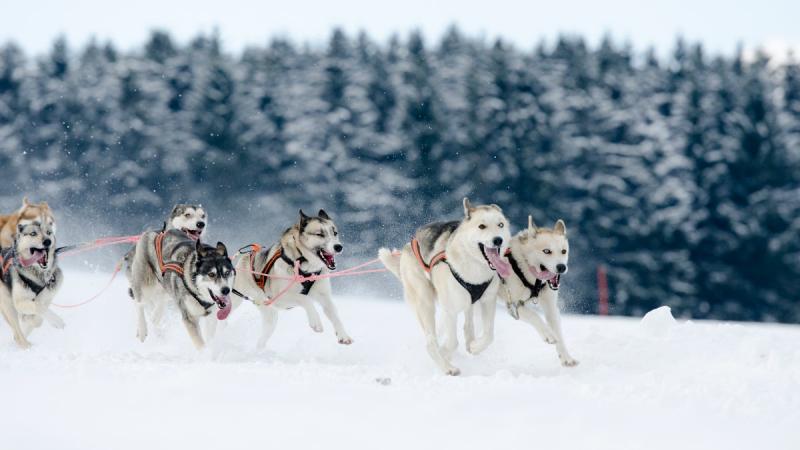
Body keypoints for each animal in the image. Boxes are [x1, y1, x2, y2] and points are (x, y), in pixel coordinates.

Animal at [0, 204, 63, 348]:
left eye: (49, 233)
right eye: (33, 233)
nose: (47, 241)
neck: (38, 275)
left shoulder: (47, 297)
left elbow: (38, 315)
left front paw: (32, 319)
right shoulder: (20, 301)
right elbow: (37, 307)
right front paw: (56, 320)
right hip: (8, 304)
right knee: (18, 334)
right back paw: (26, 346)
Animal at [234, 210, 354, 348]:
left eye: (335, 233)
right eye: (320, 234)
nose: (338, 247)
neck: (306, 268)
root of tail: (247, 255)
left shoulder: (324, 296)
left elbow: (334, 313)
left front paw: (343, 335)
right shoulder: (280, 298)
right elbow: (305, 299)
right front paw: (316, 322)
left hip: (271, 317)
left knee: (261, 340)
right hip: (234, 299)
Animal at [380, 199, 512, 374]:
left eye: (500, 225)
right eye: (482, 226)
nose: (498, 240)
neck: (474, 268)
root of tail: (408, 244)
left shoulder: (487, 301)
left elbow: (489, 335)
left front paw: (475, 347)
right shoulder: (450, 309)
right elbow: (452, 343)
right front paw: (445, 353)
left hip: (465, 302)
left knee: (466, 325)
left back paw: (467, 342)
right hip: (425, 301)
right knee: (430, 342)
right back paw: (447, 366)